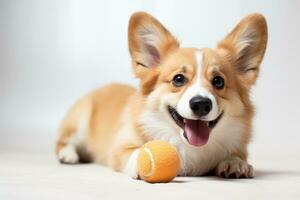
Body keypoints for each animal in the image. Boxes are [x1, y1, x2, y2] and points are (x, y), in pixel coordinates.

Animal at [55, 11, 268, 179]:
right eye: (178, 79)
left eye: (218, 81)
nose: (201, 104)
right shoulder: (119, 148)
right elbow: (134, 152)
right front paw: (144, 159)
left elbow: (237, 156)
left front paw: (235, 163)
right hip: (79, 122)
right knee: (62, 142)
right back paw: (68, 155)